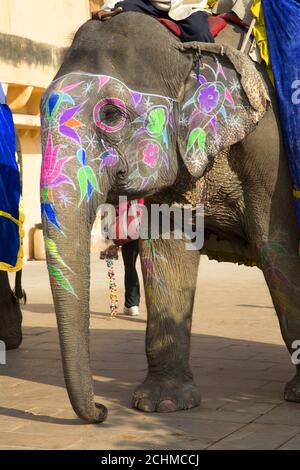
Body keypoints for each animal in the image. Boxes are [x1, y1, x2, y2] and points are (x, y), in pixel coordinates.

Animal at [39, 11, 300, 422]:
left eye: (111, 114)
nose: (101, 411)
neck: (188, 48)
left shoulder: (270, 147)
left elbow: (277, 248)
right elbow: (167, 252)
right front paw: (161, 404)